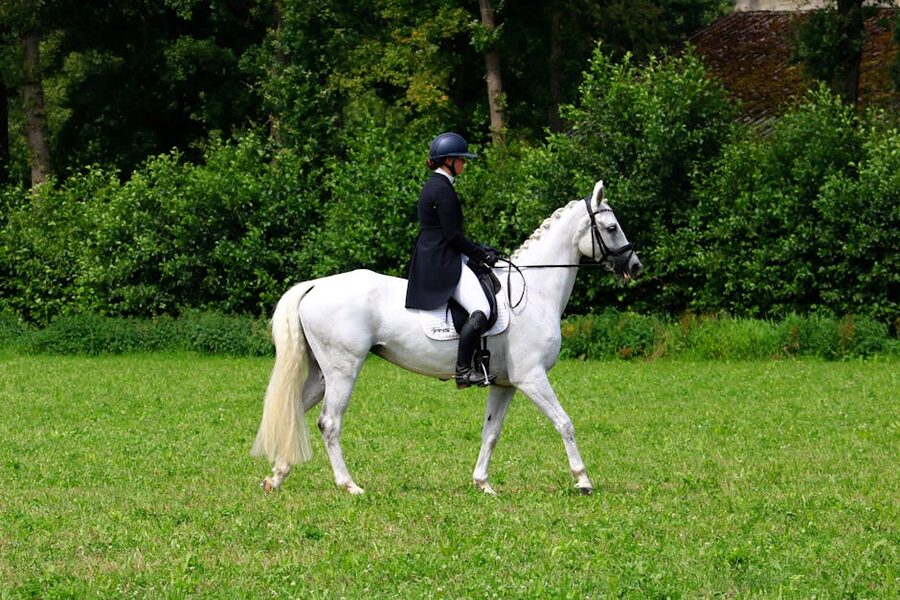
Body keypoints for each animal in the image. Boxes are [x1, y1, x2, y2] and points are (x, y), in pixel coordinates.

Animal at [251, 180, 643, 495]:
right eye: (611, 227)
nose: (635, 266)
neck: (534, 291)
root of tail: (315, 286)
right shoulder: (531, 377)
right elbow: (565, 422)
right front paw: (583, 480)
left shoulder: (506, 384)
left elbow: (491, 432)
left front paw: (483, 484)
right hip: (342, 371)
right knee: (329, 423)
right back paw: (349, 485)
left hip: (321, 374)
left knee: (294, 412)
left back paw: (276, 477)